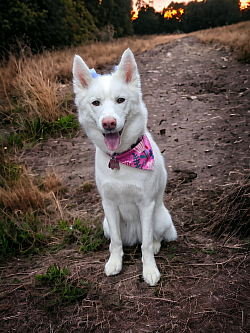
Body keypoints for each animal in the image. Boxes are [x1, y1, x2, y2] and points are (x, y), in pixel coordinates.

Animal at [73, 48, 178, 284]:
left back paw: (156, 246)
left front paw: (150, 270)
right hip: (106, 223)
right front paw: (115, 263)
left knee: (153, 238)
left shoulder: (146, 205)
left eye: (120, 100)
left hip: (159, 217)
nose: (109, 123)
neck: (122, 157)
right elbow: (116, 242)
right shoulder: (109, 205)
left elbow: (146, 244)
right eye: (96, 103)